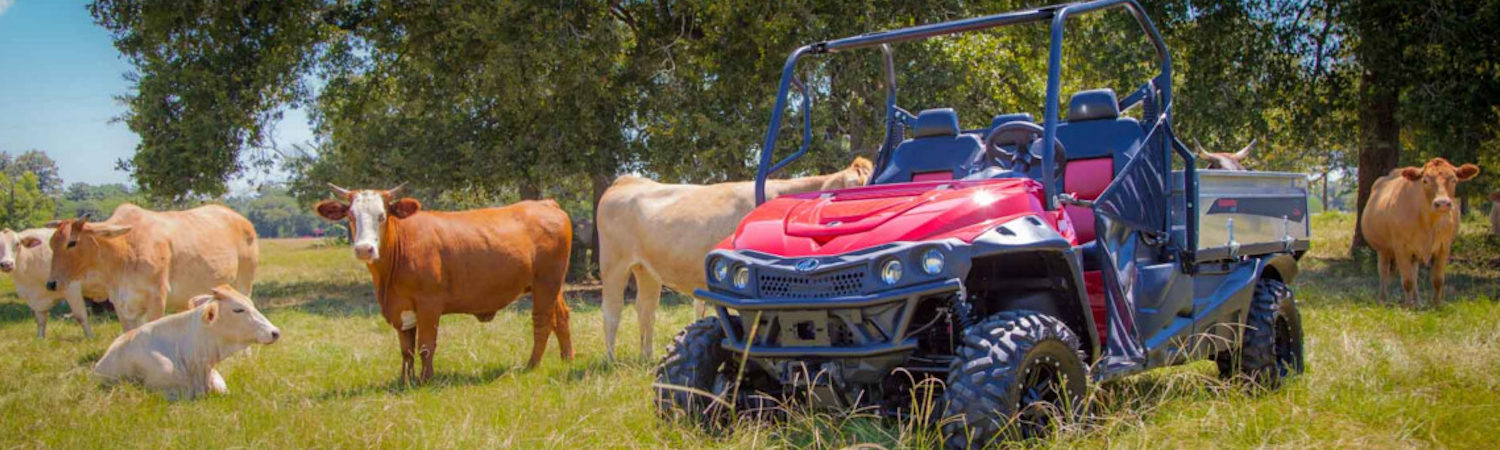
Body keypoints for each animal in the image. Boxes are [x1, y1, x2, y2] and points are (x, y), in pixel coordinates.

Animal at [1368, 157, 1482, 306]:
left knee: (1414, 272)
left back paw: (1417, 301)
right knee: (1383, 272)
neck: (1428, 221)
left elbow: (1437, 280)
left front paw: (1436, 304)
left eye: (1454, 180)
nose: (1442, 203)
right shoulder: (1401, 248)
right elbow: (1407, 281)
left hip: (1413, 254)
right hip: (1383, 249)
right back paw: (1383, 299)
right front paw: (1408, 306)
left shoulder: (1444, 247)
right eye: (1425, 180)